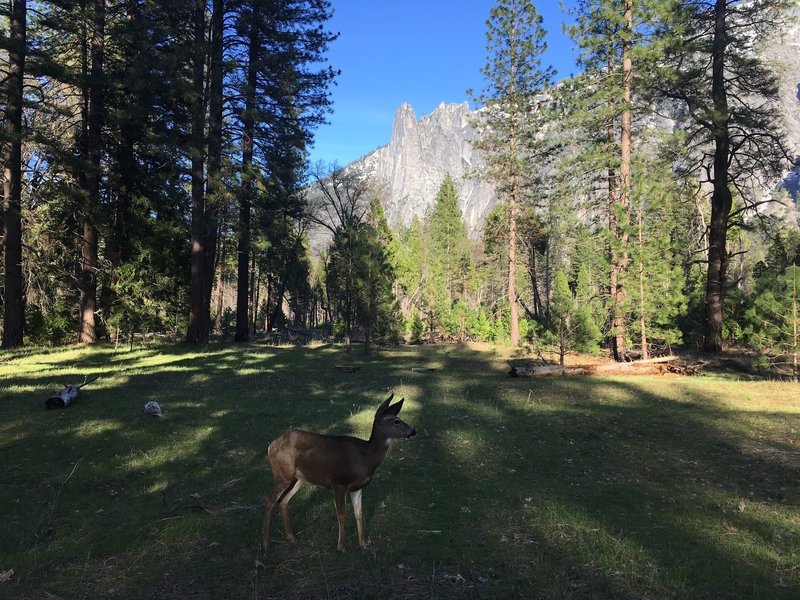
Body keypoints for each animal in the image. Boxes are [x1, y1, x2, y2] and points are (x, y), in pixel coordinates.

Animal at [262, 394, 416, 552]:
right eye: (396, 421)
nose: (413, 431)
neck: (365, 457)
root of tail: (270, 446)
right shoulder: (339, 483)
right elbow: (342, 515)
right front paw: (341, 547)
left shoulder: (357, 487)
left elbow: (359, 513)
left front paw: (363, 544)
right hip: (282, 474)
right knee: (269, 501)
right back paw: (266, 544)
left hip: (298, 478)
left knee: (283, 501)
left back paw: (291, 538)